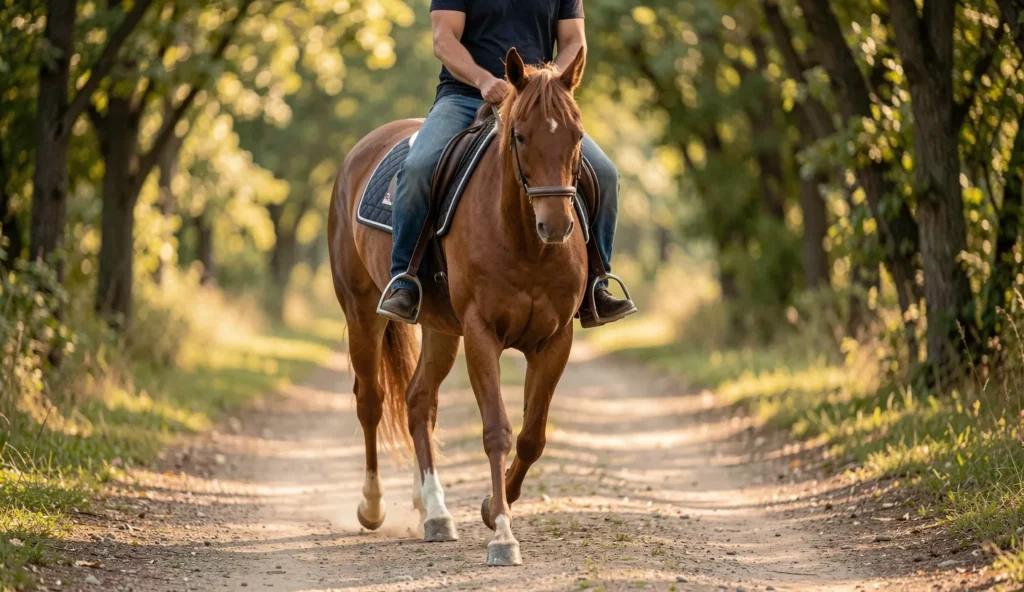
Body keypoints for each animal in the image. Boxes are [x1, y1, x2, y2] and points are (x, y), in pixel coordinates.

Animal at [327, 47, 589, 567]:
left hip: (440, 330)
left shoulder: (556, 340)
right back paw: (374, 505)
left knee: (418, 401)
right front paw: (503, 536)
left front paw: (491, 507)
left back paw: (433, 510)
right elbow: (497, 431)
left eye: (577, 134)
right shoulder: (481, 333)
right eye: (520, 135)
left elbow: (532, 435)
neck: (526, 243)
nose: (555, 225)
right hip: (362, 312)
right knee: (372, 400)